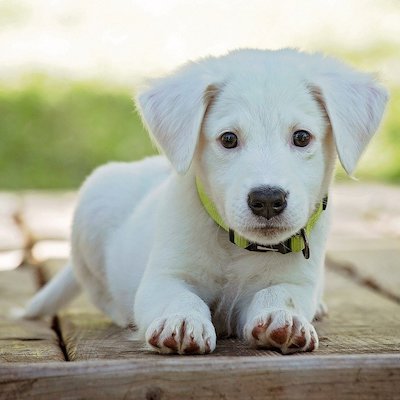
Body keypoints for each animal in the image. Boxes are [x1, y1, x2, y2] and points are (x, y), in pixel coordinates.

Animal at [25, 49, 388, 354]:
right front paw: (182, 321)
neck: (237, 247)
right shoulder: (164, 277)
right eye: (228, 139)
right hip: (93, 205)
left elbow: (279, 294)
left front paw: (282, 318)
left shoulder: (296, 281)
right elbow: (180, 297)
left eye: (301, 137)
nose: (267, 200)